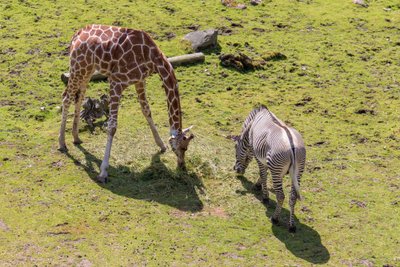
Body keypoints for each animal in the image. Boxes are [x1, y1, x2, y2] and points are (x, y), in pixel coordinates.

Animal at [59, 24, 195, 182]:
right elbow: (112, 126)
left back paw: (76, 138)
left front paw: (161, 145)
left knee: (79, 98)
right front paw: (103, 172)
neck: (152, 58)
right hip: (77, 67)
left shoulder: (139, 81)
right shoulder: (116, 81)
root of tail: (76, 34)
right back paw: (62, 144)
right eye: (183, 147)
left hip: (87, 70)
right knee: (66, 98)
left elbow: (146, 110)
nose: (182, 166)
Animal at [231, 105, 306, 233]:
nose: (236, 170)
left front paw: (265, 196)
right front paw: (258, 185)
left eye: (236, 148)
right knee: (293, 197)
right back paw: (291, 226)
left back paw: (275, 219)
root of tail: (292, 146)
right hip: (298, 171)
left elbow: (263, 174)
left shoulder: (256, 154)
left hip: (277, 169)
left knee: (281, 196)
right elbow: (264, 173)